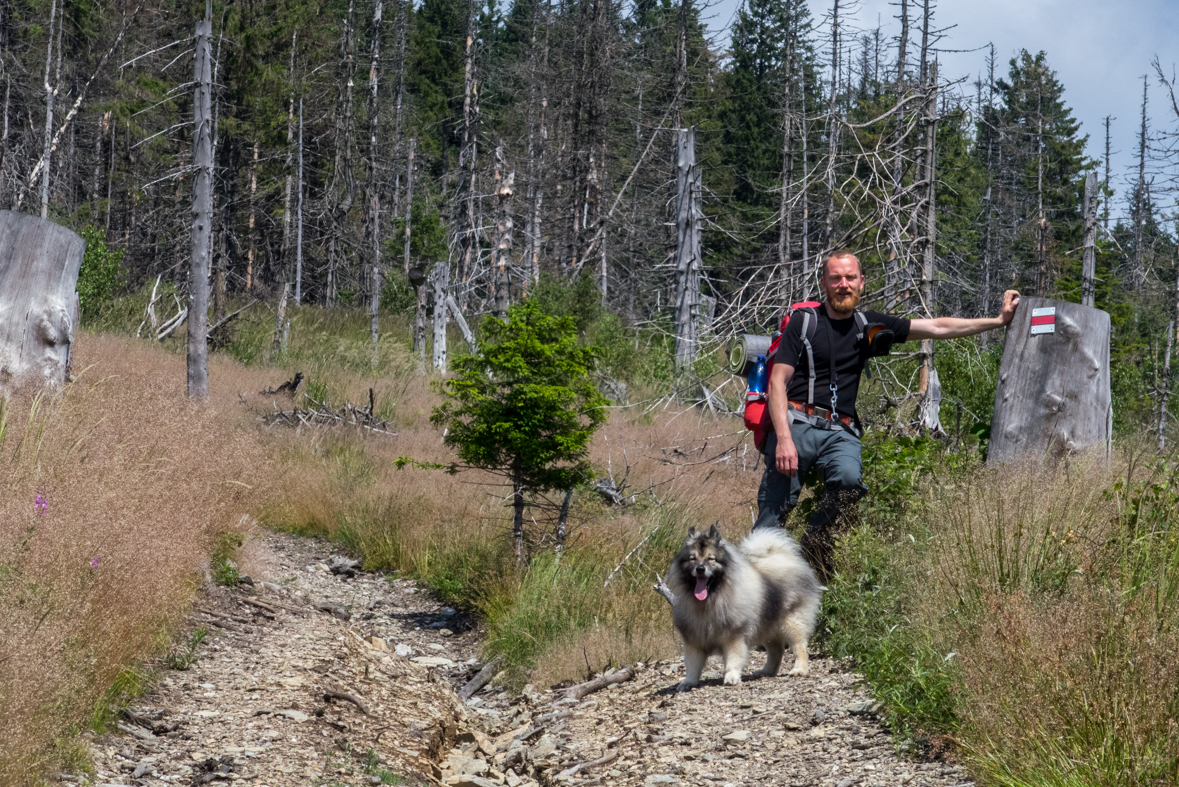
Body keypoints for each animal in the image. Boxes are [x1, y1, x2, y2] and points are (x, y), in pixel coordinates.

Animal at [669, 525, 825, 692]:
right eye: (693, 558)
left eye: (711, 559)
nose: (700, 569)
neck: (710, 600)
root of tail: (784, 557)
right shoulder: (694, 639)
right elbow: (692, 664)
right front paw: (688, 682)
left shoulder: (733, 635)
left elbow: (733, 658)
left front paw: (731, 677)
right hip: (767, 626)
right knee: (776, 651)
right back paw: (766, 671)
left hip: (792, 622)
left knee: (799, 647)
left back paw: (799, 669)